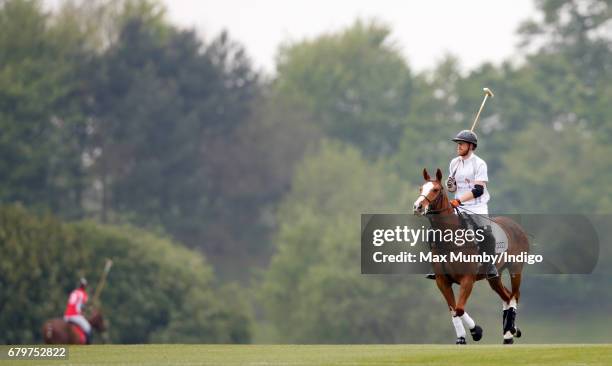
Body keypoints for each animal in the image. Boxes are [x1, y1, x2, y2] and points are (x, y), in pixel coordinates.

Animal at [414, 168, 528, 344]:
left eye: (436, 189)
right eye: (421, 188)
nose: (418, 207)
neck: (451, 238)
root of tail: (516, 226)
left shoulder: (467, 279)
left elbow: (459, 309)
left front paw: (477, 331)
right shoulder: (442, 281)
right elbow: (453, 309)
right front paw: (461, 338)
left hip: (515, 268)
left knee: (515, 295)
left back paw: (511, 331)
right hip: (494, 277)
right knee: (507, 296)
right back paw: (510, 331)